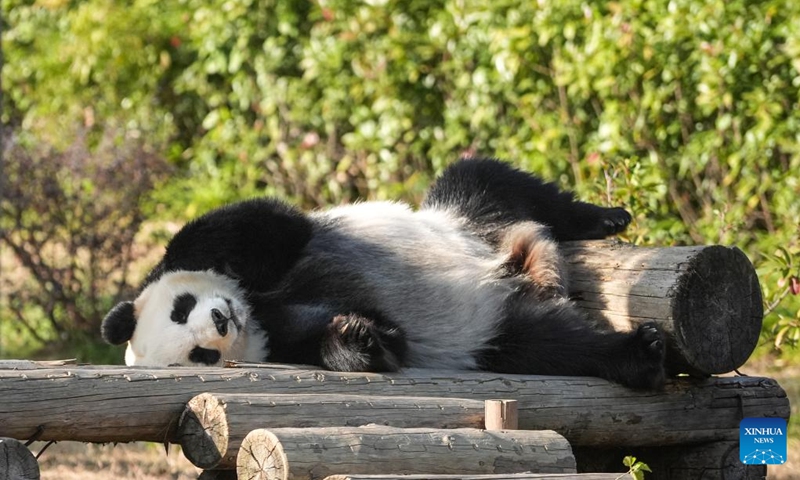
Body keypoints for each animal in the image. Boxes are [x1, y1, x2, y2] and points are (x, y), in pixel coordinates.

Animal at [103, 158, 672, 390]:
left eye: (182, 309)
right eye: (199, 354)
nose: (222, 321)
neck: (259, 310)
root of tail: (521, 264)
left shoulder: (263, 250)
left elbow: (261, 225)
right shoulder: (283, 336)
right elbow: (381, 339)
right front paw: (360, 337)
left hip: (464, 216)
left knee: (490, 180)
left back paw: (603, 218)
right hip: (498, 329)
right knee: (554, 344)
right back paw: (636, 356)